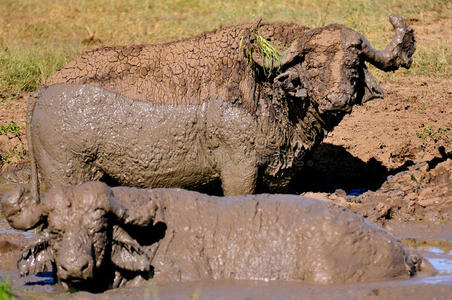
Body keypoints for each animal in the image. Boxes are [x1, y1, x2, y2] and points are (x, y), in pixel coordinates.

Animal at [28, 14, 414, 197]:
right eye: (314, 65)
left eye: (352, 65)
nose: (337, 99)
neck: (270, 88)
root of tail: (41, 92)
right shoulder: (238, 170)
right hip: (67, 174)